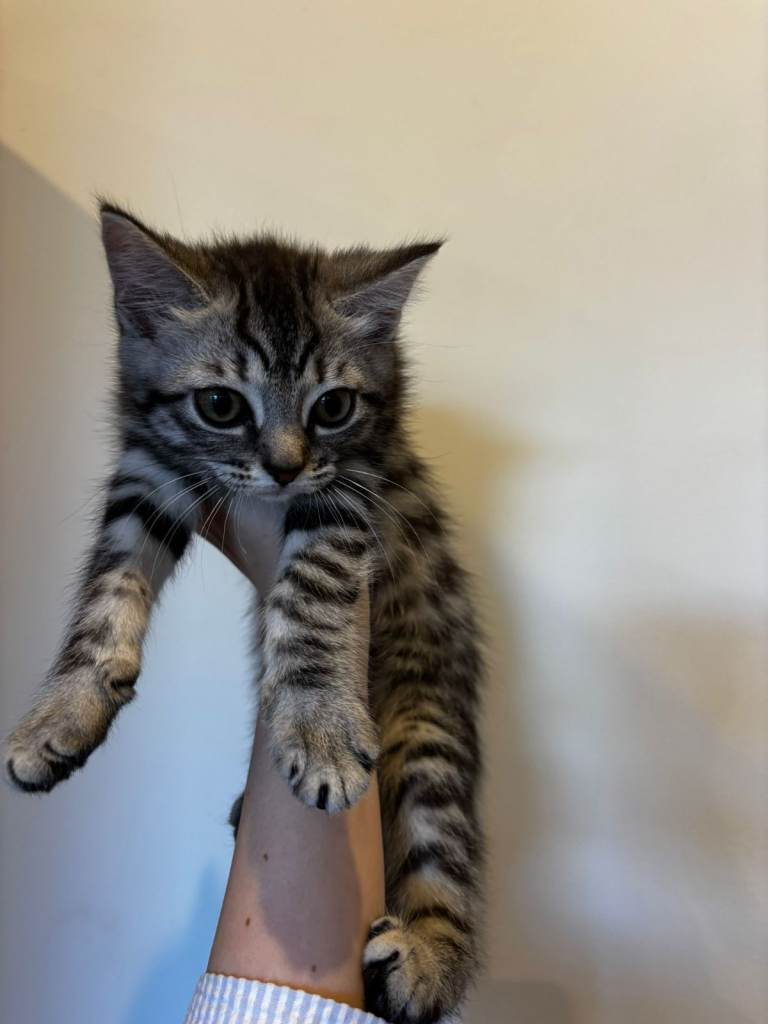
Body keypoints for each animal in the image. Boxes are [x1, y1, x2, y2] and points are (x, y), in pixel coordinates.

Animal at [5, 204, 484, 1024]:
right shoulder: (145, 474)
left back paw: (429, 960)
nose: (286, 467)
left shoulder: (352, 488)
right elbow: (105, 592)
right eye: (220, 405)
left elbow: (313, 589)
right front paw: (62, 710)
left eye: (334, 407)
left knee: (442, 849)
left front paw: (320, 725)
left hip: (427, 725)